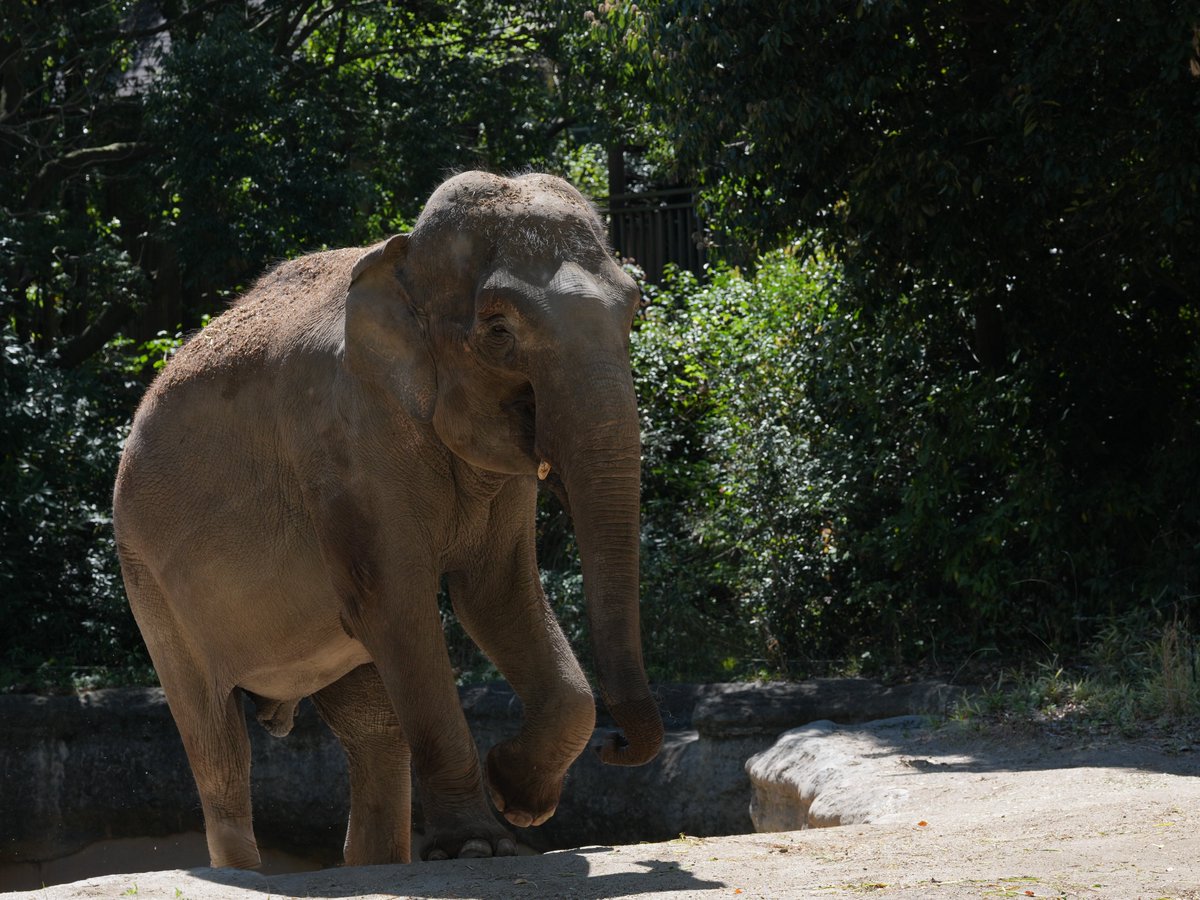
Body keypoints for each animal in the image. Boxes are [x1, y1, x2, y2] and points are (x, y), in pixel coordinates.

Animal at [112, 171, 664, 869]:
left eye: (633, 312)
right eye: (498, 329)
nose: (616, 747)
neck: (400, 264)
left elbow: (496, 595)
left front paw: (515, 794)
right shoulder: (344, 441)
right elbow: (398, 604)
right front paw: (482, 845)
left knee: (373, 732)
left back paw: (376, 862)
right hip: (149, 582)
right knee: (217, 743)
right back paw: (248, 866)